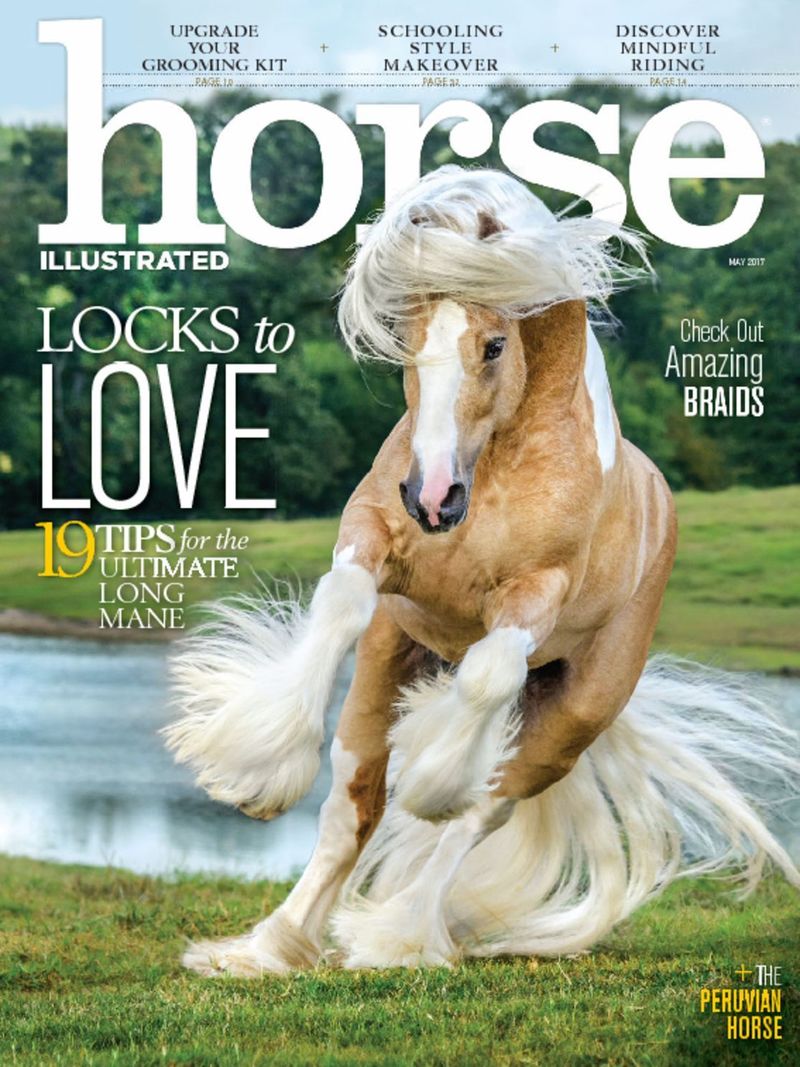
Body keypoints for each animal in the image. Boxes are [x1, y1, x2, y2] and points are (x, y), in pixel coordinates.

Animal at [165, 166, 799, 976]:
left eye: (495, 345)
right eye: (407, 341)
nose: (434, 498)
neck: (498, 461)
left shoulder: (535, 593)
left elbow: (487, 681)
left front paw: (432, 777)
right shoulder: (372, 536)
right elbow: (340, 602)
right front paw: (258, 765)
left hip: (571, 720)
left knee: (476, 815)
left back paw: (398, 934)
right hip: (389, 658)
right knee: (354, 805)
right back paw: (269, 947)